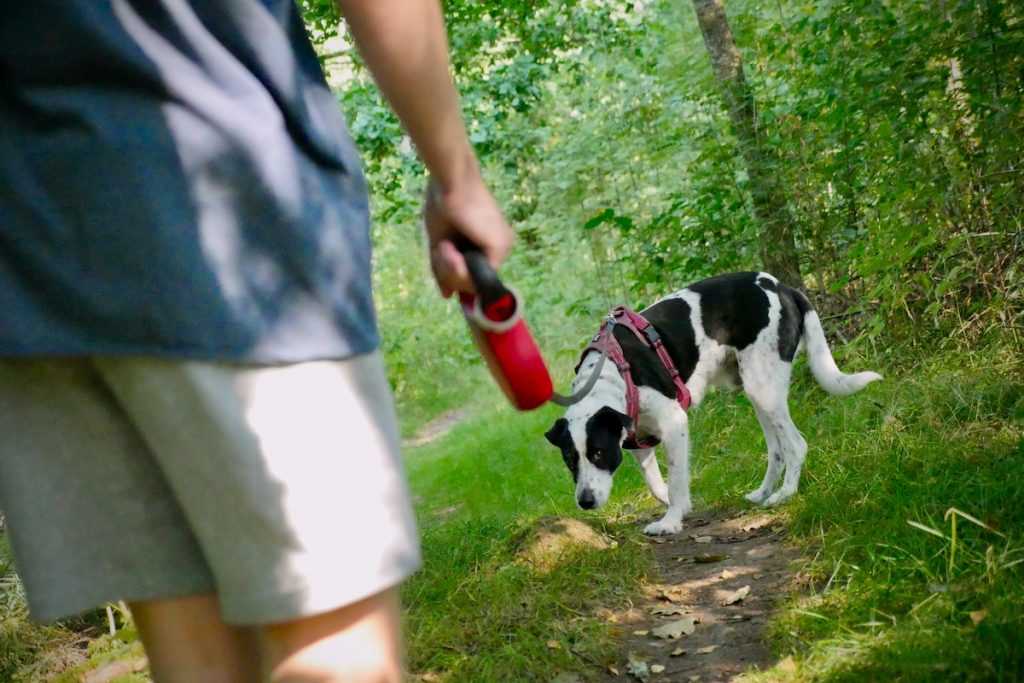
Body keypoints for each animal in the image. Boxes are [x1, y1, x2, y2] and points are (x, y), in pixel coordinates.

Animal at [544, 270, 880, 532]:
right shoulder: (637, 437)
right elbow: (656, 484)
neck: (613, 374)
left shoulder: (674, 423)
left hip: (763, 387)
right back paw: (762, 493)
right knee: (777, 450)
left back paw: (784, 494)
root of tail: (782, 287)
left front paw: (671, 521)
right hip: (757, 391)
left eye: (599, 453)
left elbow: (677, 479)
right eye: (570, 460)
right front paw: (673, 504)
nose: (585, 502)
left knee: (796, 445)